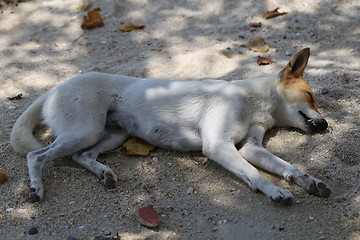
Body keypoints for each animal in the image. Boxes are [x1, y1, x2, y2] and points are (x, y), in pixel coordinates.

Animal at [10, 47, 332, 203]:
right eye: (311, 96)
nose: (326, 125)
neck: (253, 100)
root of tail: (56, 87)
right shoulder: (219, 146)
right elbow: (254, 173)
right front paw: (276, 191)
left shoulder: (250, 148)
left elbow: (287, 166)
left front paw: (309, 181)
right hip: (84, 130)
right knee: (36, 155)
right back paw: (36, 189)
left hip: (114, 134)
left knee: (82, 156)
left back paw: (105, 174)